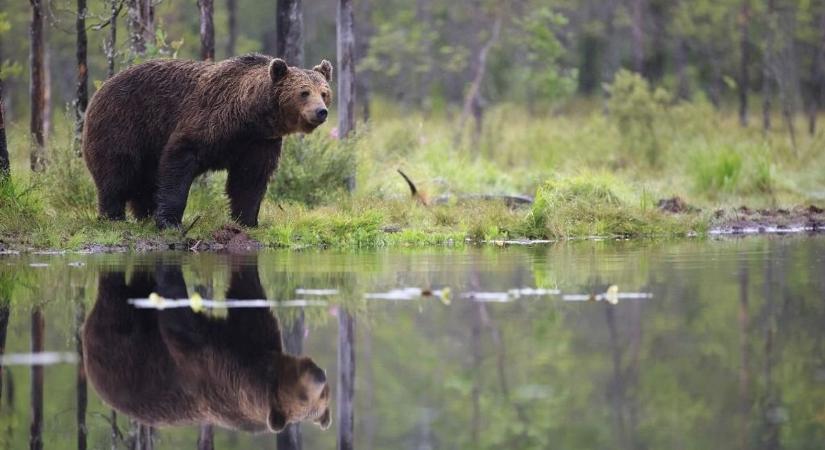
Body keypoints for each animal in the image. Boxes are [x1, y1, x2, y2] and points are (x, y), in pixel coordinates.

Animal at [80, 54, 332, 229]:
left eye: (324, 92)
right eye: (304, 92)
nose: (321, 111)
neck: (249, 117)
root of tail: (101, 87)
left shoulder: (259, 142)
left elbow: (250, 180)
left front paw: (248, 220)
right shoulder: (207, 121)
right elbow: (177, 163)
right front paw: (169, 222)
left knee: (143, 181)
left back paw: (144, 214)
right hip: (123, 125)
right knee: (117, 172)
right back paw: (113, 216)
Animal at [82, 256, 330, 432]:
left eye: (323, 397)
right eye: (303, 397)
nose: (320, 375)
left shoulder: (254, 335)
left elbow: (249, 300)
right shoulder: (213, 363)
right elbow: (183, 329)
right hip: (119, 348)